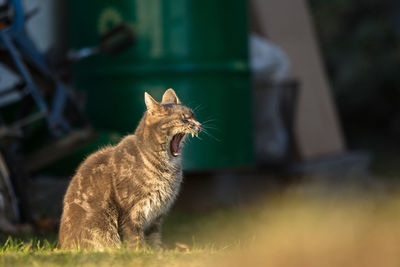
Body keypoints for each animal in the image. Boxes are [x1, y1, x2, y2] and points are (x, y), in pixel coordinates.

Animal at [57, 90, 202, 251]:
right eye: (184, 119)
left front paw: (158, 252)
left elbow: (154, 238)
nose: (199, 125)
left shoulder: (156, 216)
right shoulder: (133, 212)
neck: (167, 167)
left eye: (194, 115)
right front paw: (142, 252)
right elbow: (135, 240)